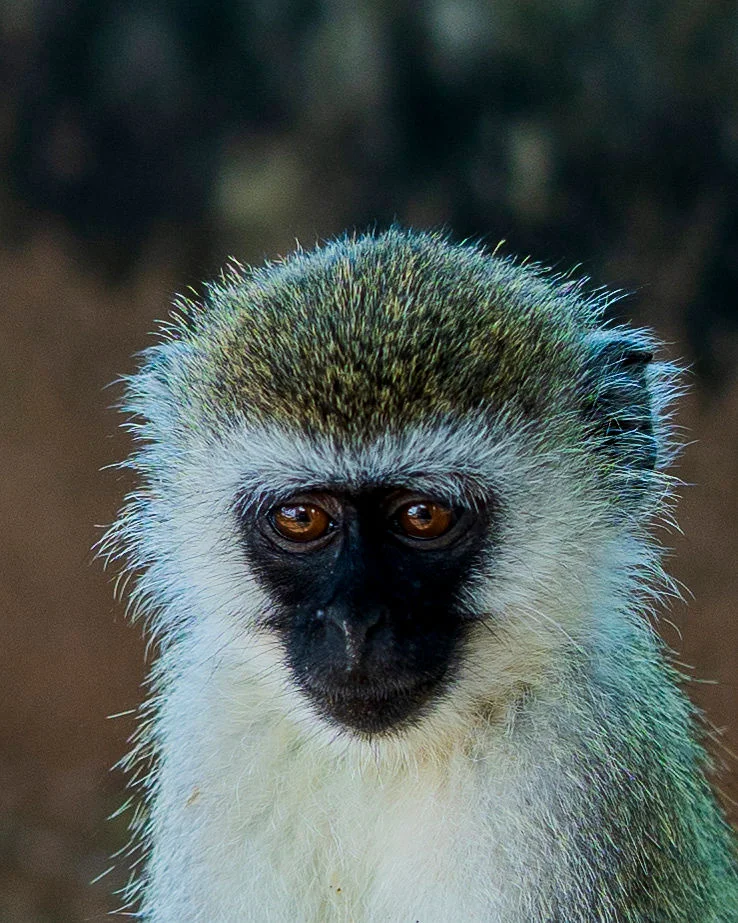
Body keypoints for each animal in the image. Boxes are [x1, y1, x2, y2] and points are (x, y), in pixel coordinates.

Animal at [103, 228, 738, 921]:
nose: (354, 624)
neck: (380, 763)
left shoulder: (575, 768)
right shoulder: (215, 728)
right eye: (301, 518)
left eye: (423, 515)